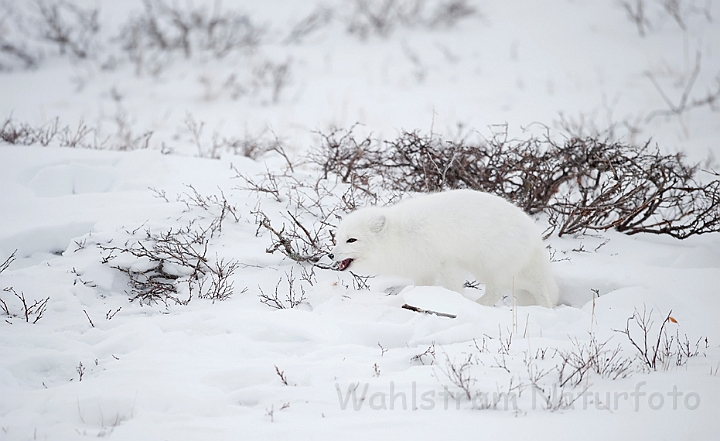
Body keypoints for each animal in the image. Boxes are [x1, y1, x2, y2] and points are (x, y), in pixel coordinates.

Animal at [330, 188, 560, 306]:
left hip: (490, 266)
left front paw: (453, 302)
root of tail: (534, 232)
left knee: (502, 291)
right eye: (338, 238)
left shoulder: (447, 262)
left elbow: (453, 287)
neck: (399, 236)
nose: (332, 255)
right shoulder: (423, 269)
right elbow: (423, 286)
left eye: (352, 240)